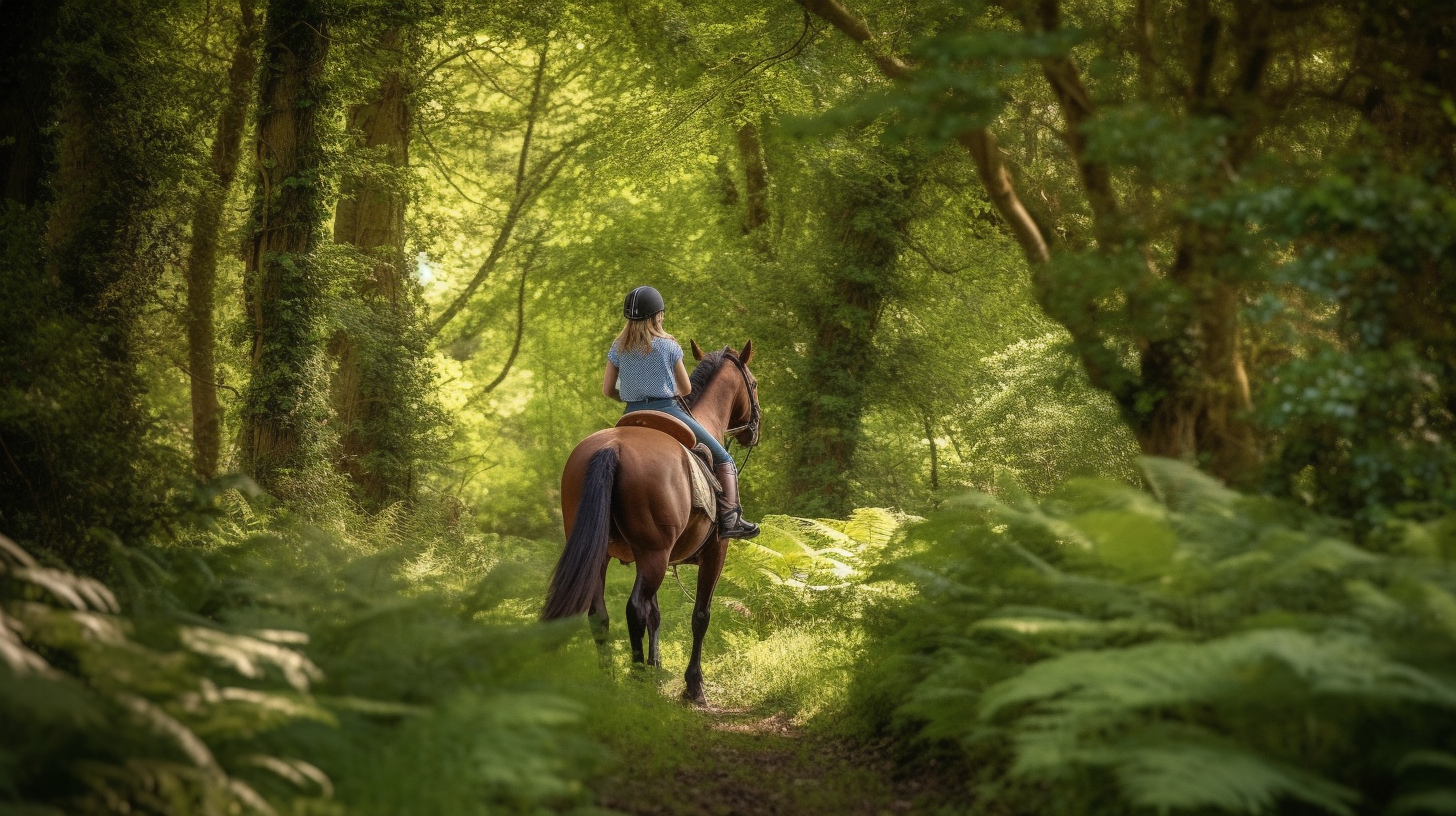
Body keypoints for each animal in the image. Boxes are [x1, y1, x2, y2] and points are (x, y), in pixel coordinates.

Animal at [538, 340, 762, 705]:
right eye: (753, 384)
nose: (754, 432)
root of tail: (612, 448)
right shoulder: (715, 552)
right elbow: (700, 615)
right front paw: (693, 687)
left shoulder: (662, 558)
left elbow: (657, 615)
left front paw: (657, 669)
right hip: (653, 554)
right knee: (634, 610)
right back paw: (636, 678)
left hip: (608, 554)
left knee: (601, 614)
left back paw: (612, 681)